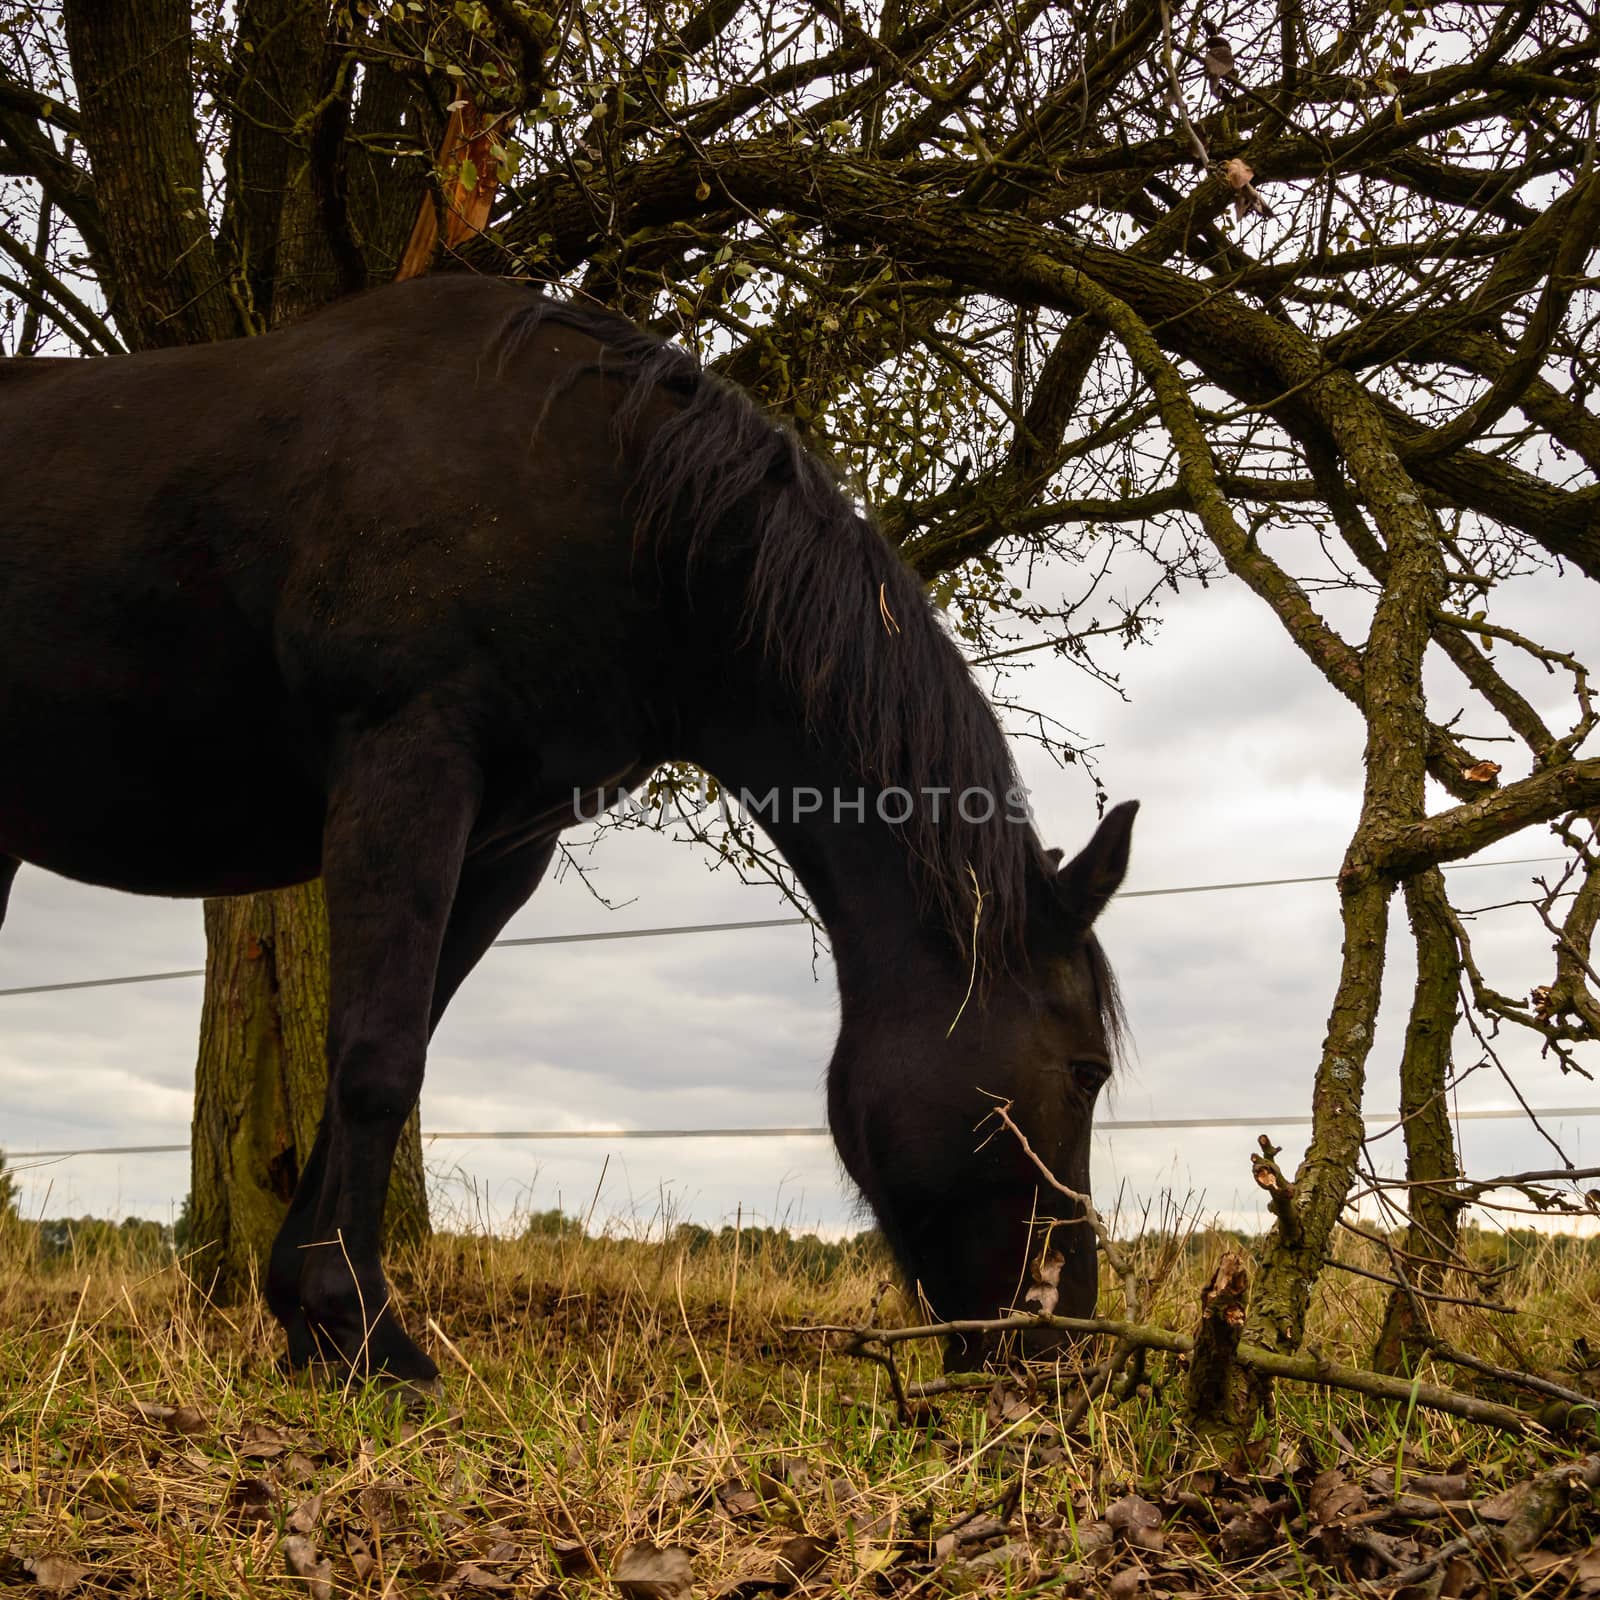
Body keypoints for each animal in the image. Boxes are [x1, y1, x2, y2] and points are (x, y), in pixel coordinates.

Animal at [0, 275, 1139, 1376]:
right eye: (1087, 1071)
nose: (1064, 1342)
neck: (607, 504)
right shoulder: (405, 766)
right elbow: (375, 1056)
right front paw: (360, 1327)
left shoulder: (501, 846)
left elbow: (395, 1045)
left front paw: (311, 1318)